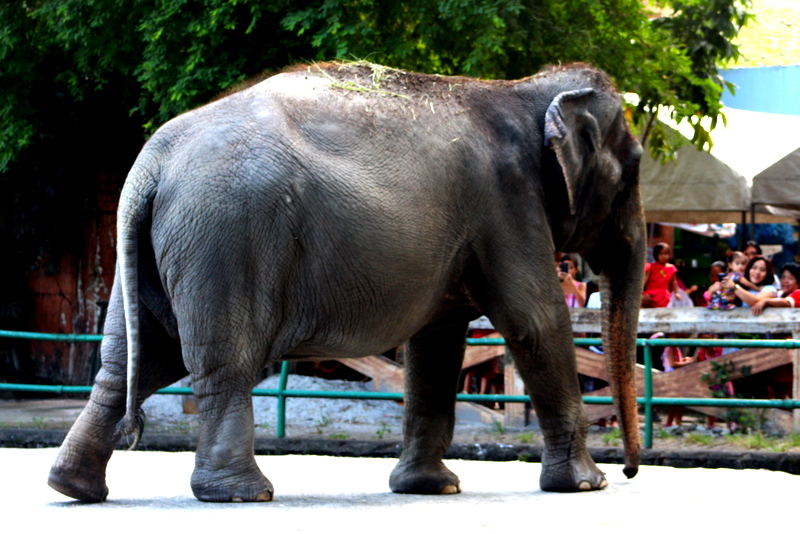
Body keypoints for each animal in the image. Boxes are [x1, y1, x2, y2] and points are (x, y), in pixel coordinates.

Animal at [48, 61, 644, 503]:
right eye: (635, 166)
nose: (631, 472)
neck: (523, 89)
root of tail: (151, 163)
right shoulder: (508, 202)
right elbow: (535, 319)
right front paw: (586, 486)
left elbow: (436, 342)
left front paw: (430, 489)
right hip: (225, 238)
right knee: (221, 363)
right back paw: (243, 494)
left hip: (156, 252)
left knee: (130, 362)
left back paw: (73, 487)